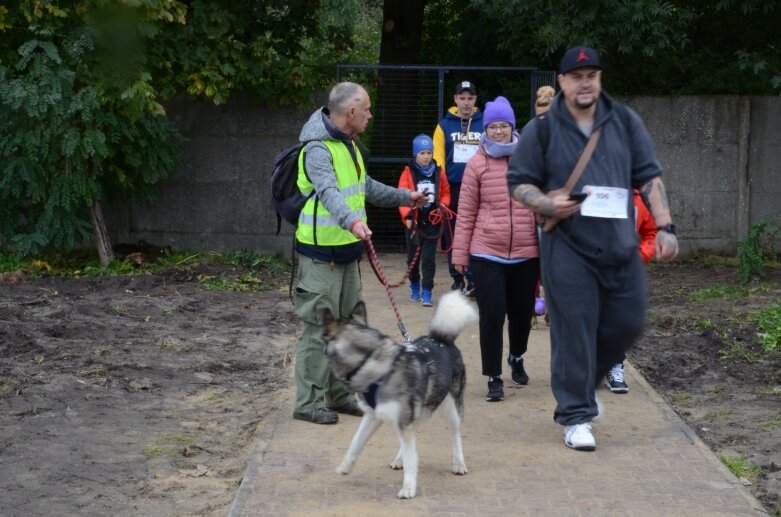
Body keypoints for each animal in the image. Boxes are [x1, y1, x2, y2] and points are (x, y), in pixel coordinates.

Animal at [322, 290, 476, 496]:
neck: (374, 363)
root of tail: (442, 339)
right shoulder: (373, 416)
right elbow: (355, 443)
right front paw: (345, 466)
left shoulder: (402, 421)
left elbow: (412, 461)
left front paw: (408, 488)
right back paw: (399, 458)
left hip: (450, 408)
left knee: (455, 434)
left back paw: (458, 463)